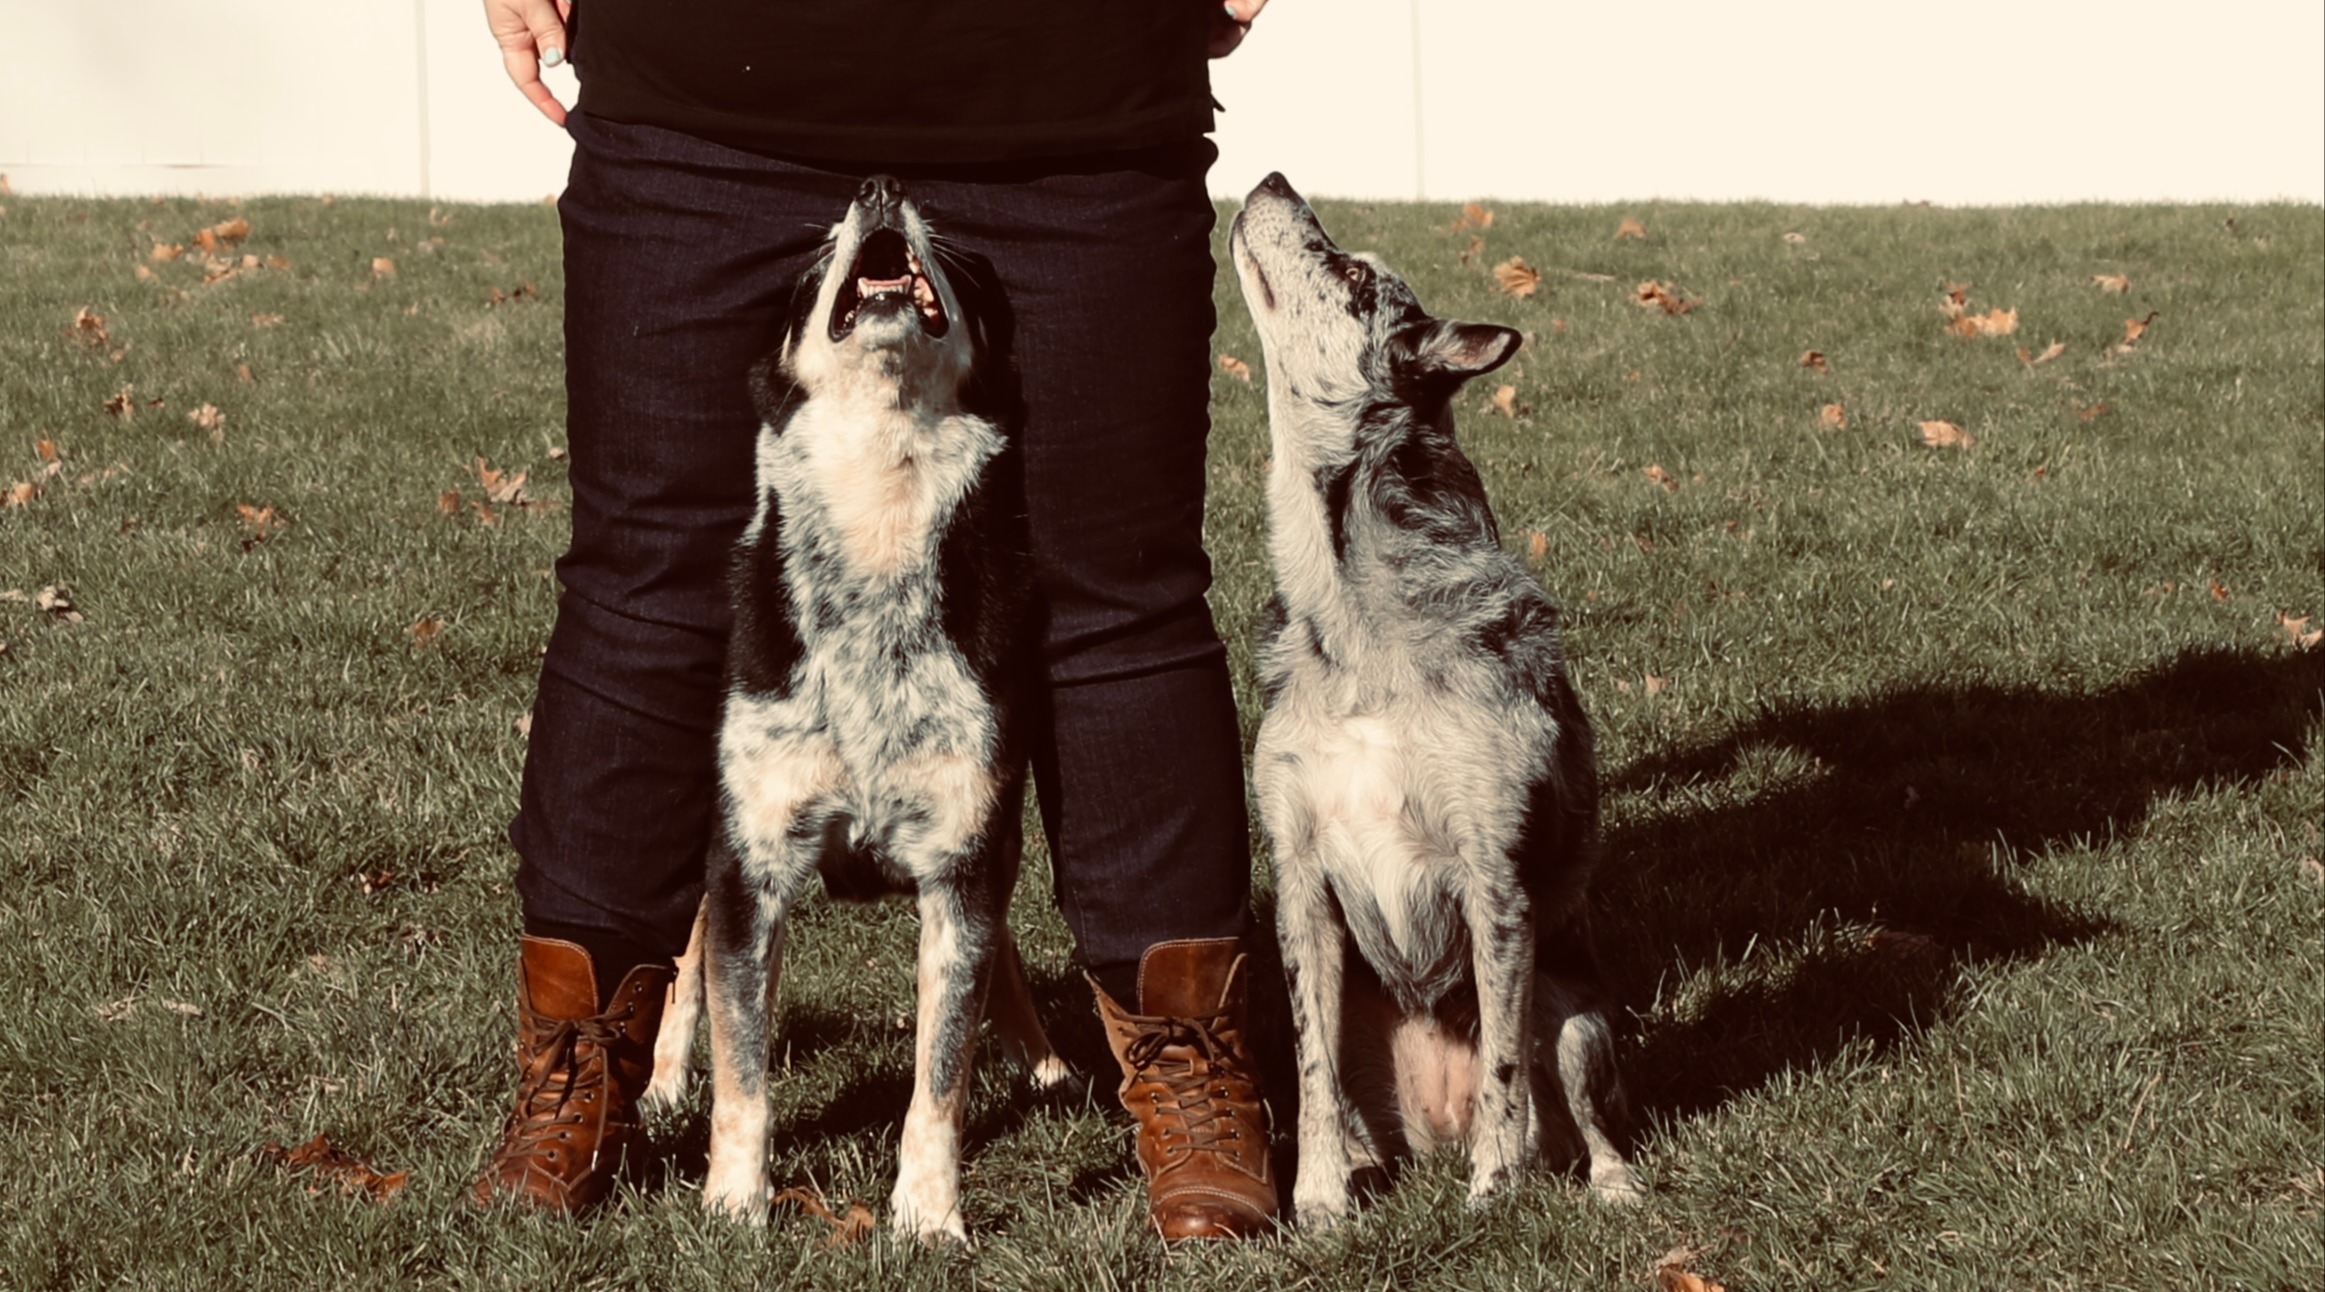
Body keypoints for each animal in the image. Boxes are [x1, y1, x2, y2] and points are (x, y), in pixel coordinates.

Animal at [637, 174, 1069, 1245]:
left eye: (964, 268)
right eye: (806, 270)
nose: (880, 184)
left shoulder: (963, 851)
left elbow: (940, 1073)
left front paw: (928, 1217)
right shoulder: (750, 858)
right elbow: (742, 1070)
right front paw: (733, 1205)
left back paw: (1042, 1061)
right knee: (683, 959)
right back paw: (659, 1085)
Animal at [1227, 174, 1646, 1226]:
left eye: (1348, 276)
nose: (1273, 180)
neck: (1355, 619)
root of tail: (1429, 1134)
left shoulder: (1492, 881)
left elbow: (1500, 1067)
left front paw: (1493, 1191)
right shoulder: (1299, 880)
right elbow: (1312, 1074)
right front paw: (1319, 1204)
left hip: (1576, 1020)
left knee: (1578, 1112)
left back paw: (1605, 1183)